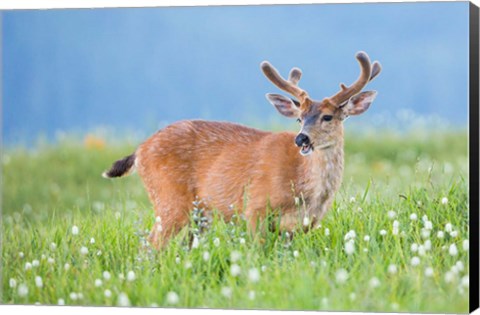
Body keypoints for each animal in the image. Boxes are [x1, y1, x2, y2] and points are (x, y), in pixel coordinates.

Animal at [103, 51, 380, 249]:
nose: (301, 139)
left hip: (200, 213)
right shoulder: (254, 207)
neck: (305, 189)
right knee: (150, 247)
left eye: (327, 117)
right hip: (169, 197)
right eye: (299, 118)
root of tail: (140, 150)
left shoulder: (302, 225)